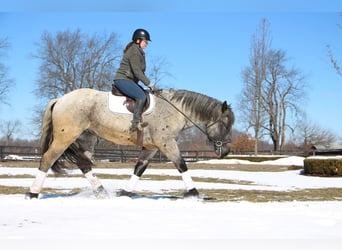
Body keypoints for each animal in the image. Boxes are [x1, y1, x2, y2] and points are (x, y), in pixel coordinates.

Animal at [25, 88, 234, 199]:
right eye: (225, 124)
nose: (226, 151)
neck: (174, 110)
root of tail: (60, 99)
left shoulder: (151, 148)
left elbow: (139, 169)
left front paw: (125, 192)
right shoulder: (166, 143)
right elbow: (181, 165)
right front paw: (193, 192)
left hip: (86, 139)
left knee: (84, 164)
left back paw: (102, 192)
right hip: (65, 137)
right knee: (48, 159)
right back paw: (32, 193)